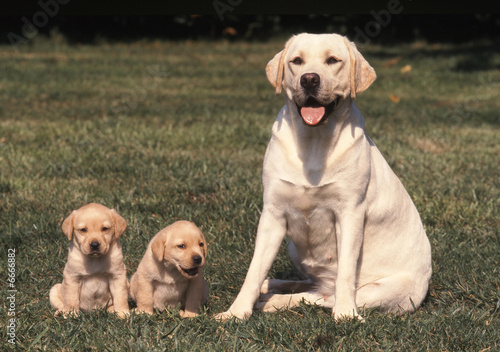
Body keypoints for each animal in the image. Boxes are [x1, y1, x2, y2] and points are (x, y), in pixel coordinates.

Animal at [217, 33, 432, 322]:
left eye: (332, 60)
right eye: (297, 61)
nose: (309, 79)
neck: (313, 142)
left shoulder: (350, 213)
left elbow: (346, 275)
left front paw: (346, 315)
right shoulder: (272, 214)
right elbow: (254, 271)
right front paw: (236, 312)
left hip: (385, 290)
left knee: (322, 296)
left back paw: (274, 301)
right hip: (294, 248)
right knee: (311, 285)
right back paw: (270, 286)